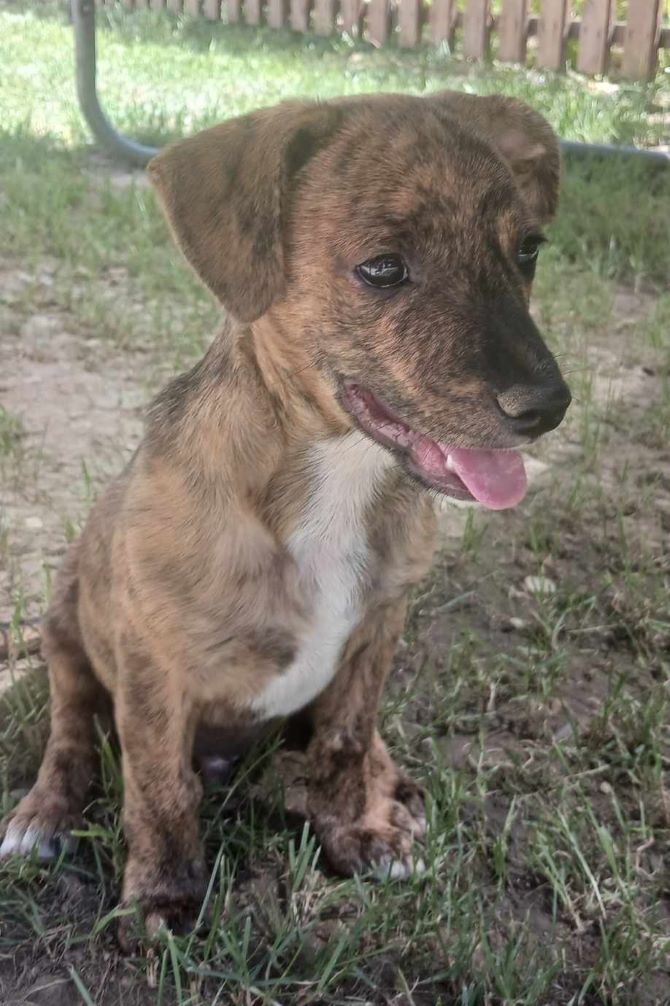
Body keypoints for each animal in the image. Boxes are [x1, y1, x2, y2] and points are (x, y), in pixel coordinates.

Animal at [1, 90, 567, 937]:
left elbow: (344, 740)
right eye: (382, 267)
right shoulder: (152, 668)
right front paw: (164, 892)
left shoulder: (377, 632)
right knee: (71, 734)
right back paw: (44, 815)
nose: (548, 407)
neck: (335, 480)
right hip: (67, 635)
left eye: (528, 250)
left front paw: (357, 828)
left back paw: (390, 790)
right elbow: (158, 786)